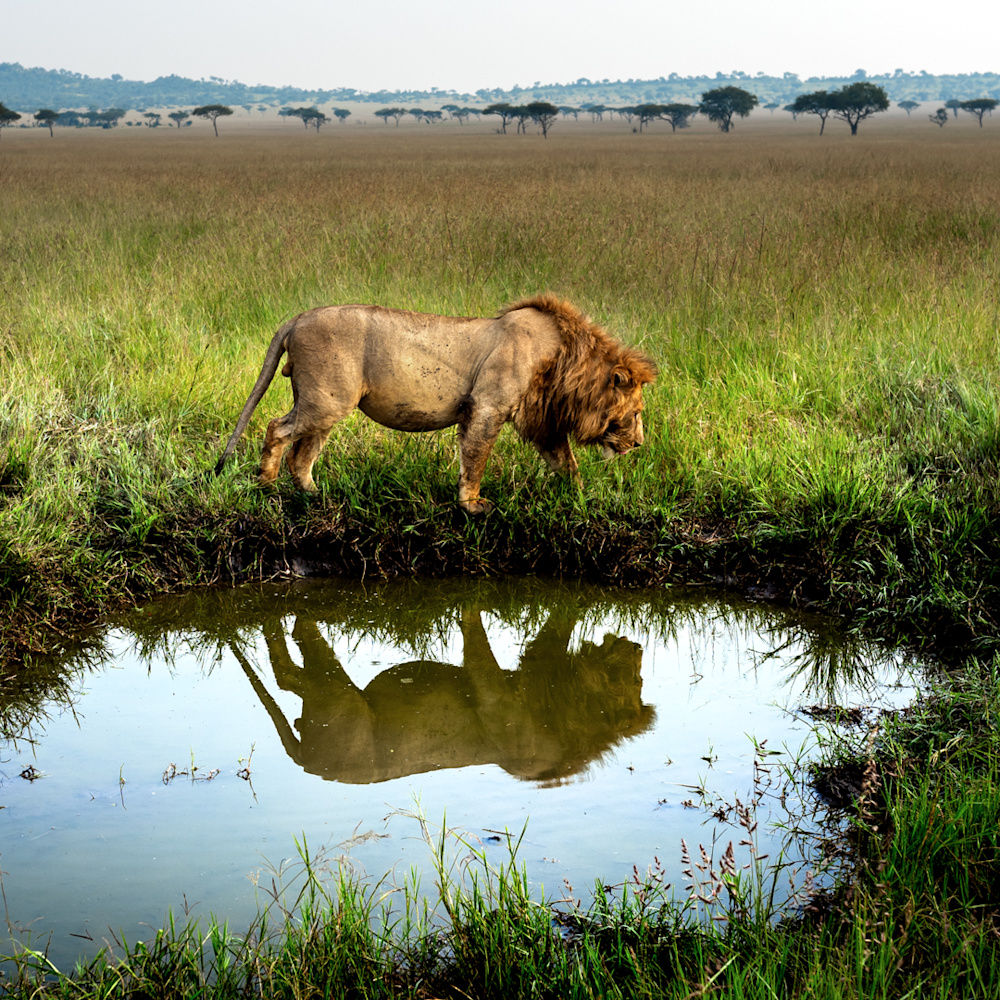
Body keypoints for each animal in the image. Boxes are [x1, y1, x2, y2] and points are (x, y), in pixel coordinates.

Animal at [213, 294, 657, 513]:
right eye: (635, 413)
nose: (639, 444)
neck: (567, 362)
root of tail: (298, 317)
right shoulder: (487, 406)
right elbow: (475, 459)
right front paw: (472, 506)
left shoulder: (542, 421)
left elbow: (567, 463)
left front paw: (583, 498)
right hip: (326, 400)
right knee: (277, 429)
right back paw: (266, 485)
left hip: (326, 405)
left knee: (301, 455)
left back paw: (315, 495)